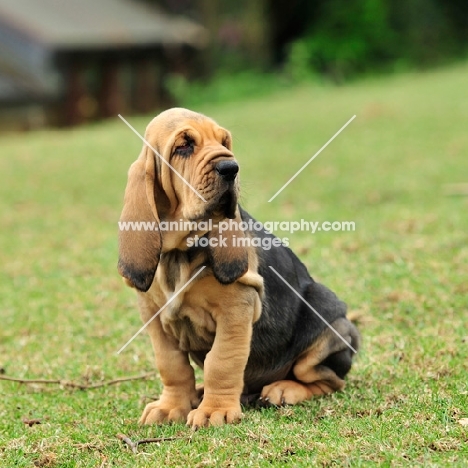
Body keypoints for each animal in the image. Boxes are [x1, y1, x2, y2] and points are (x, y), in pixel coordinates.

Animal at [119, 107, 360, 428]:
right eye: (183, 146)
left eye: (224, 142)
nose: (230, 168)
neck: (181, 250)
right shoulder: (154, 319)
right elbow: (172, 366)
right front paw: (171, 406)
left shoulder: (235, 311)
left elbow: (221, 362)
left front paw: (215, 411)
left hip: (326, 327)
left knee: (328, 380)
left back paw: (283, 389)